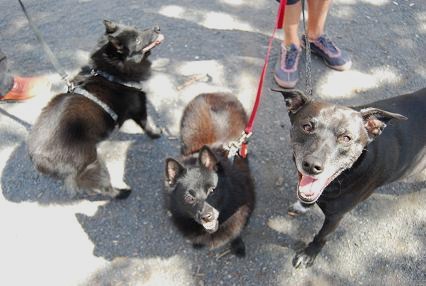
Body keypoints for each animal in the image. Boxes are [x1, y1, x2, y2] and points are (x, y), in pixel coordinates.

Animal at [165, 93, 255, 256]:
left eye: (212, 190)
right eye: (189, 197)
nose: (207, 217)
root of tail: (216, 93)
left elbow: (237, 232)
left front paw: (237, 244)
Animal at [272, 87, 426, 268]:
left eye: (346, 138)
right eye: (307, 127)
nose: (311, 165)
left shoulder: (336, 216)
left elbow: (322, 236)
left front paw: (309, 254)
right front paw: (302, 206)